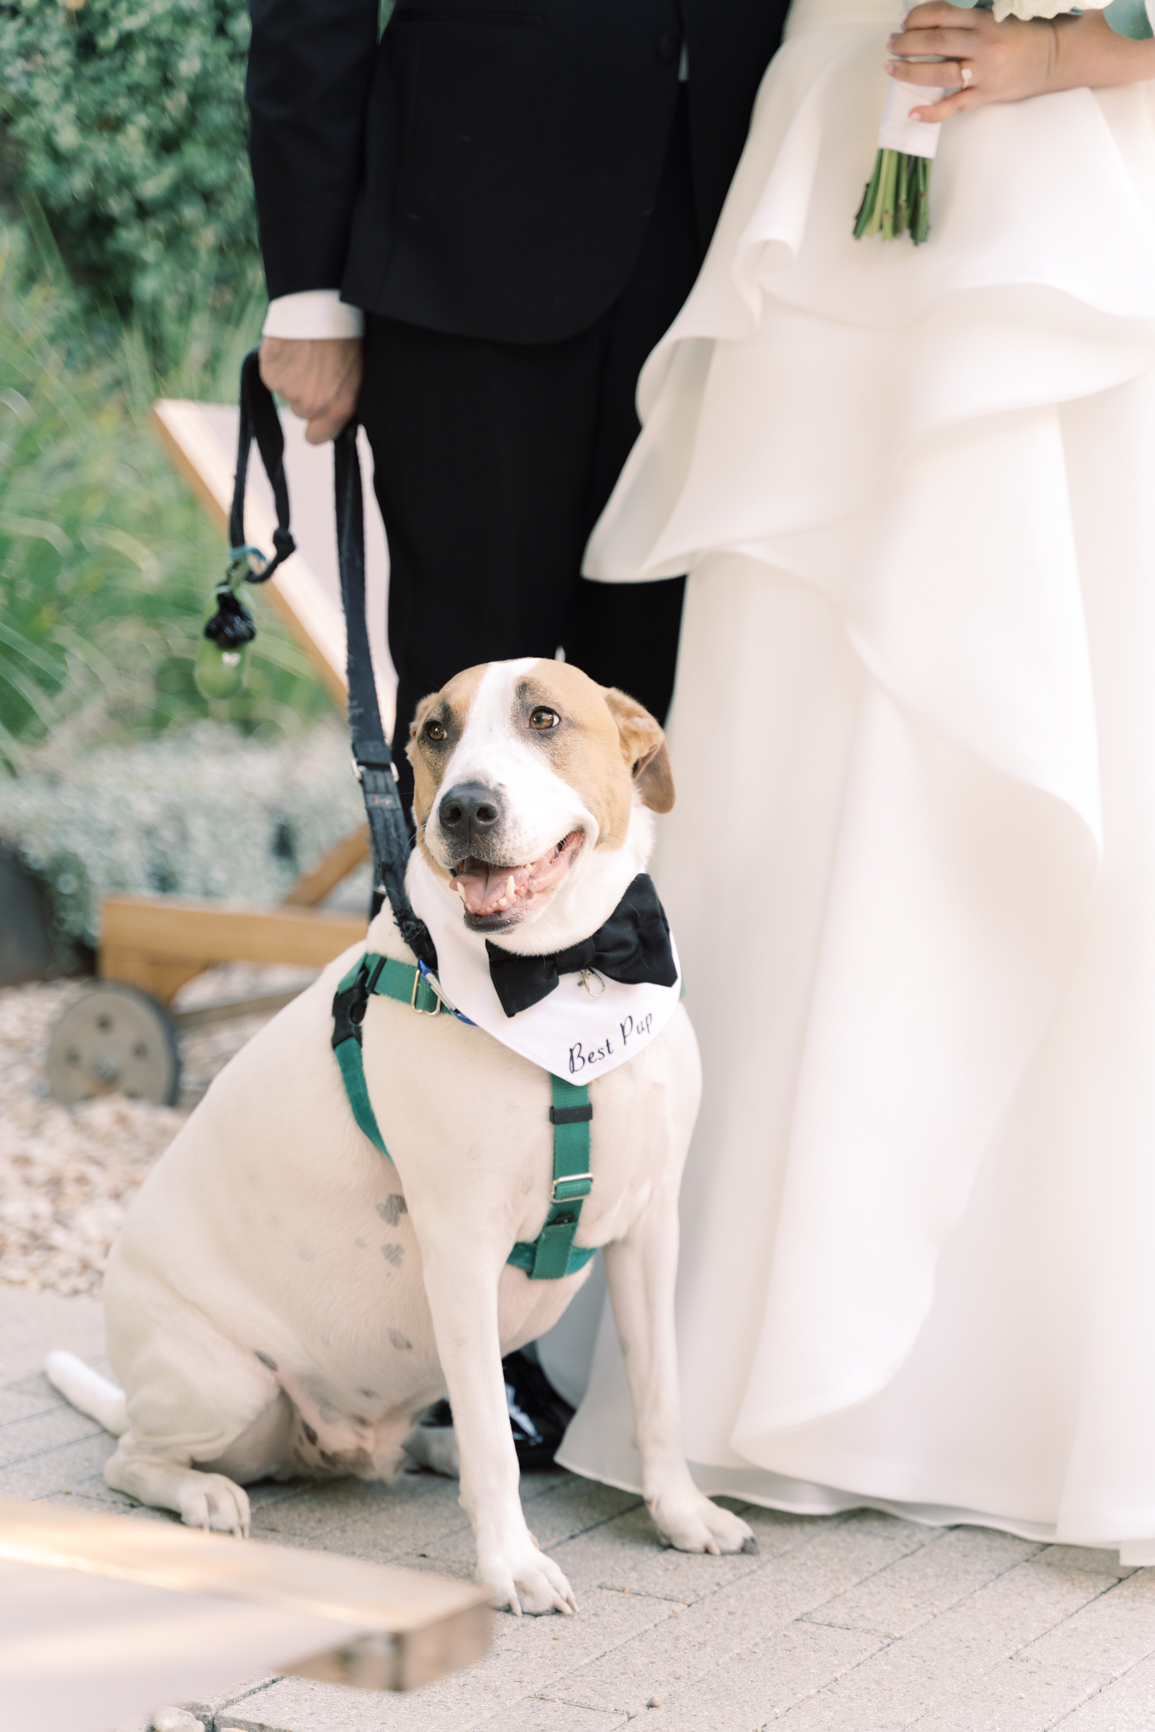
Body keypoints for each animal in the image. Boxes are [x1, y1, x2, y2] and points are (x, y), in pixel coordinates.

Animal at [51, 658, 758, 1607]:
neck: (564, 972)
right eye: (434, 732)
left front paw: (680, 1514)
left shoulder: (649, 1230)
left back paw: (426, 1447)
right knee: (131, 1459)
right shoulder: (460, 1248)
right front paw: (511, 1564)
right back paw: (204, 1493)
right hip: (222, 1383)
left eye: (544, 718)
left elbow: (659, 1396)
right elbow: (494, 1447)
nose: (464, 809)